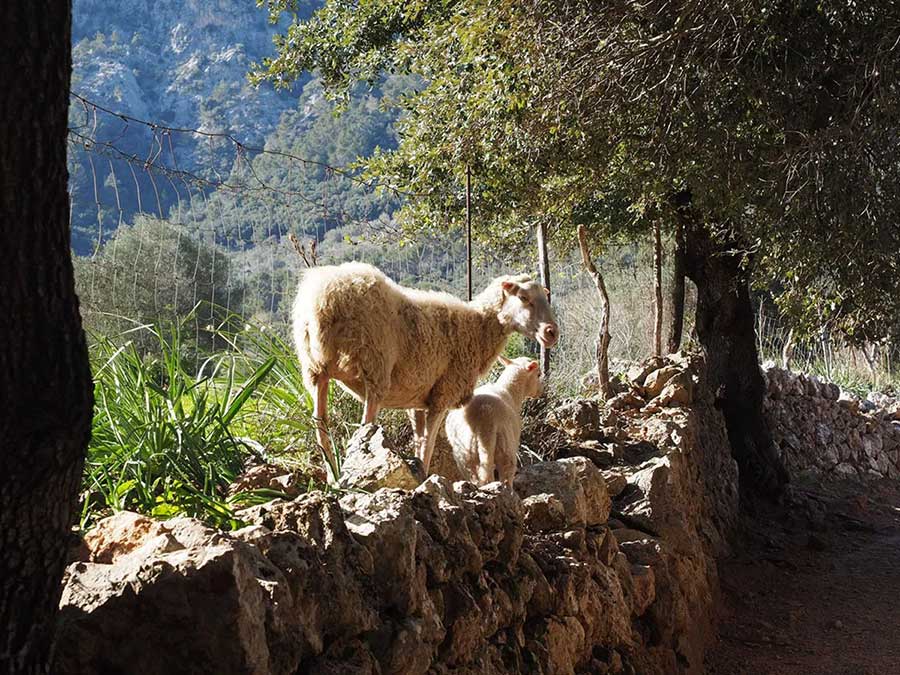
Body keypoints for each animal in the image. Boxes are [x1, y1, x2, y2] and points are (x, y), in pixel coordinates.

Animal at [444, 355, 543, 487]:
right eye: (538, 374)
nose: (541, 391)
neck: (510, 391)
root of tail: (485, 417)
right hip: (505, 444)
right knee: (505, 473)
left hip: (466, 452)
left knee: (476, 475)